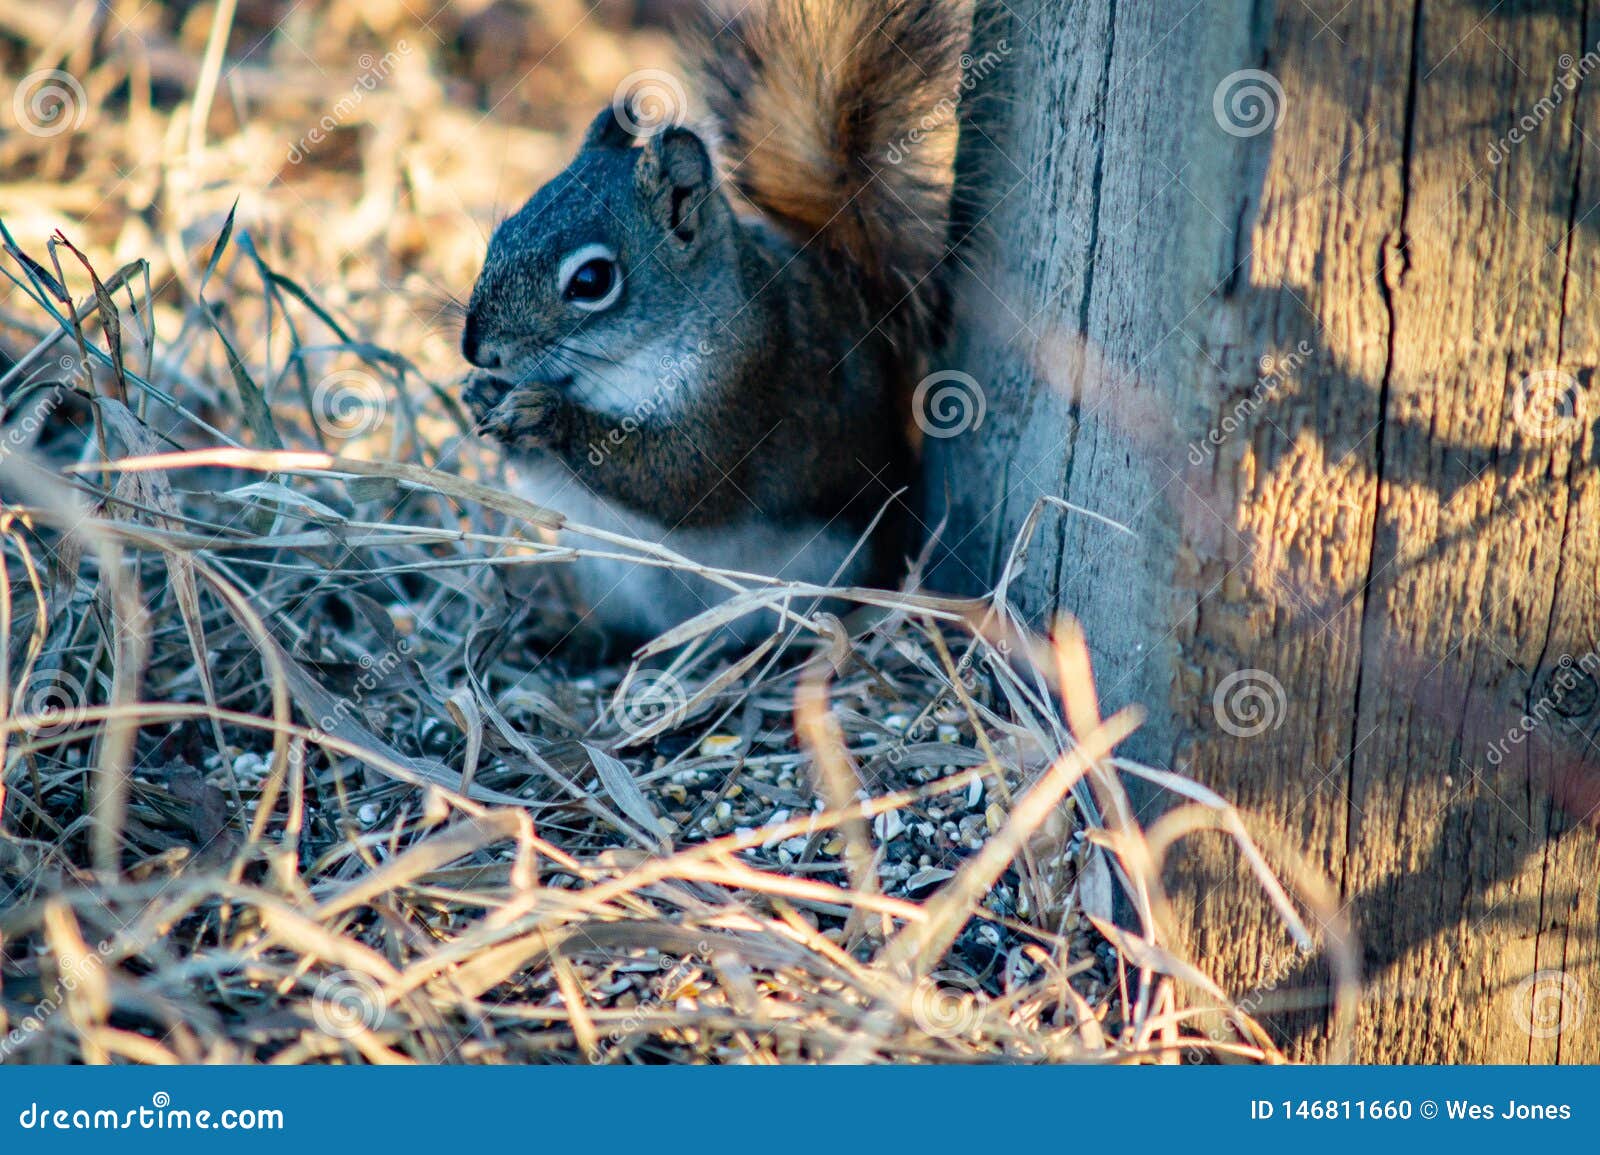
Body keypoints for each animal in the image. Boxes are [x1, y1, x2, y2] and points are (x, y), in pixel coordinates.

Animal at [461, 0, 969, 647]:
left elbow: (685, 481)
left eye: (592, 281)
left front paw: (544, 414)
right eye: (504, 230)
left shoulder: (748, 377)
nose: (477, 349)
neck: (617, 366)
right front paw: (480, 393)